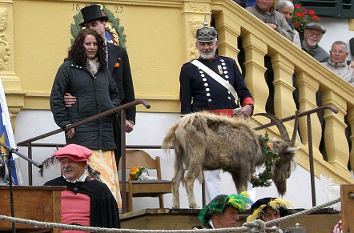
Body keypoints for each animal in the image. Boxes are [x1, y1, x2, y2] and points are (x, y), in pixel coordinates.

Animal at [163, 111, 296, 208]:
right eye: (287, 156)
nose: (288, 175)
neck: (257, 144)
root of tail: (178, 127)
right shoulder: (244, 167)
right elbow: (243, 190)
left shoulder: (234, 171)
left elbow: (239, 191)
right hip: (196, 155)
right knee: (188, 178)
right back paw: (194, 205)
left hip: (179, 156)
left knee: (175, 180)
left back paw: (175, 206)